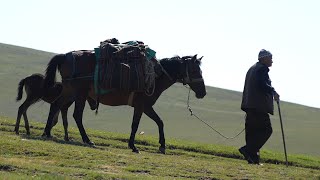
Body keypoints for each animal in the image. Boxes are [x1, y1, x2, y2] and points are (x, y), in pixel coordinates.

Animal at [42, 51, 205, 154]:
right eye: (195, 71)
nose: (203, 93)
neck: (154, 76)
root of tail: (66, 56)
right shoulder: (142, 106)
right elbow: (135, 125)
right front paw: (133, 146)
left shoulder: (146, 107)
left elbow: (160, 122)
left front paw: (162, 146)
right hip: (79, 94)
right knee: (76, 115)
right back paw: (87, 140)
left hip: (69, 92)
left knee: (56, 105)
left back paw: (47, 133)